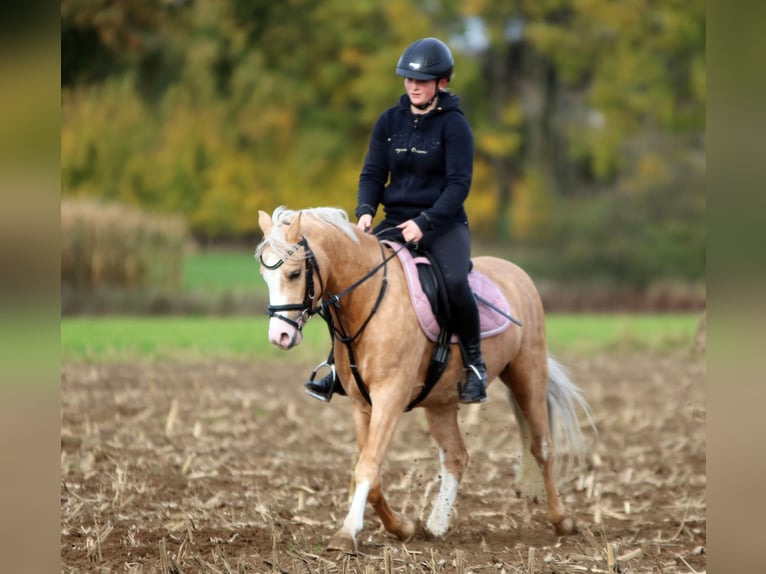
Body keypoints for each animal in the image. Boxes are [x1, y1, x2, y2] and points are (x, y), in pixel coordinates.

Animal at [256, 206, 592, 554]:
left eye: (295, 273)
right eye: (264, 275)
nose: (279, 337)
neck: (368, 298)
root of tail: (515, 272)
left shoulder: (389, 397)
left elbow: (368, 465)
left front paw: (347, 533)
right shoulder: (362, 405)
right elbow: (371, 472)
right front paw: (401, 527)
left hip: (528, 375)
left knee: (543, 447)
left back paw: (562, 520)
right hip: (440, 401)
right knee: (457, 457)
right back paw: (436, 525)